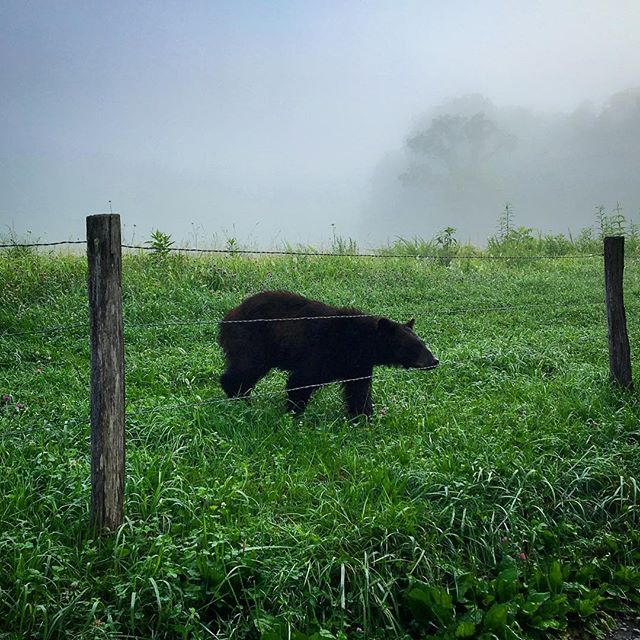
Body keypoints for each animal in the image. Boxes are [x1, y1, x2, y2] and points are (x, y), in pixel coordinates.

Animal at [217, 290, 438, 418]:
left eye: (423, 343)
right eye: (415, 346)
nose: (434, 360)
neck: (360, 341)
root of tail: (228, 316)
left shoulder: (358, 364)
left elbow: (359, 390)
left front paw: (363, 417)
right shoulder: (322, 352)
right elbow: (301, 381)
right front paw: (293, 414)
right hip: (252, 340)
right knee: (246, 368)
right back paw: (239, 399)